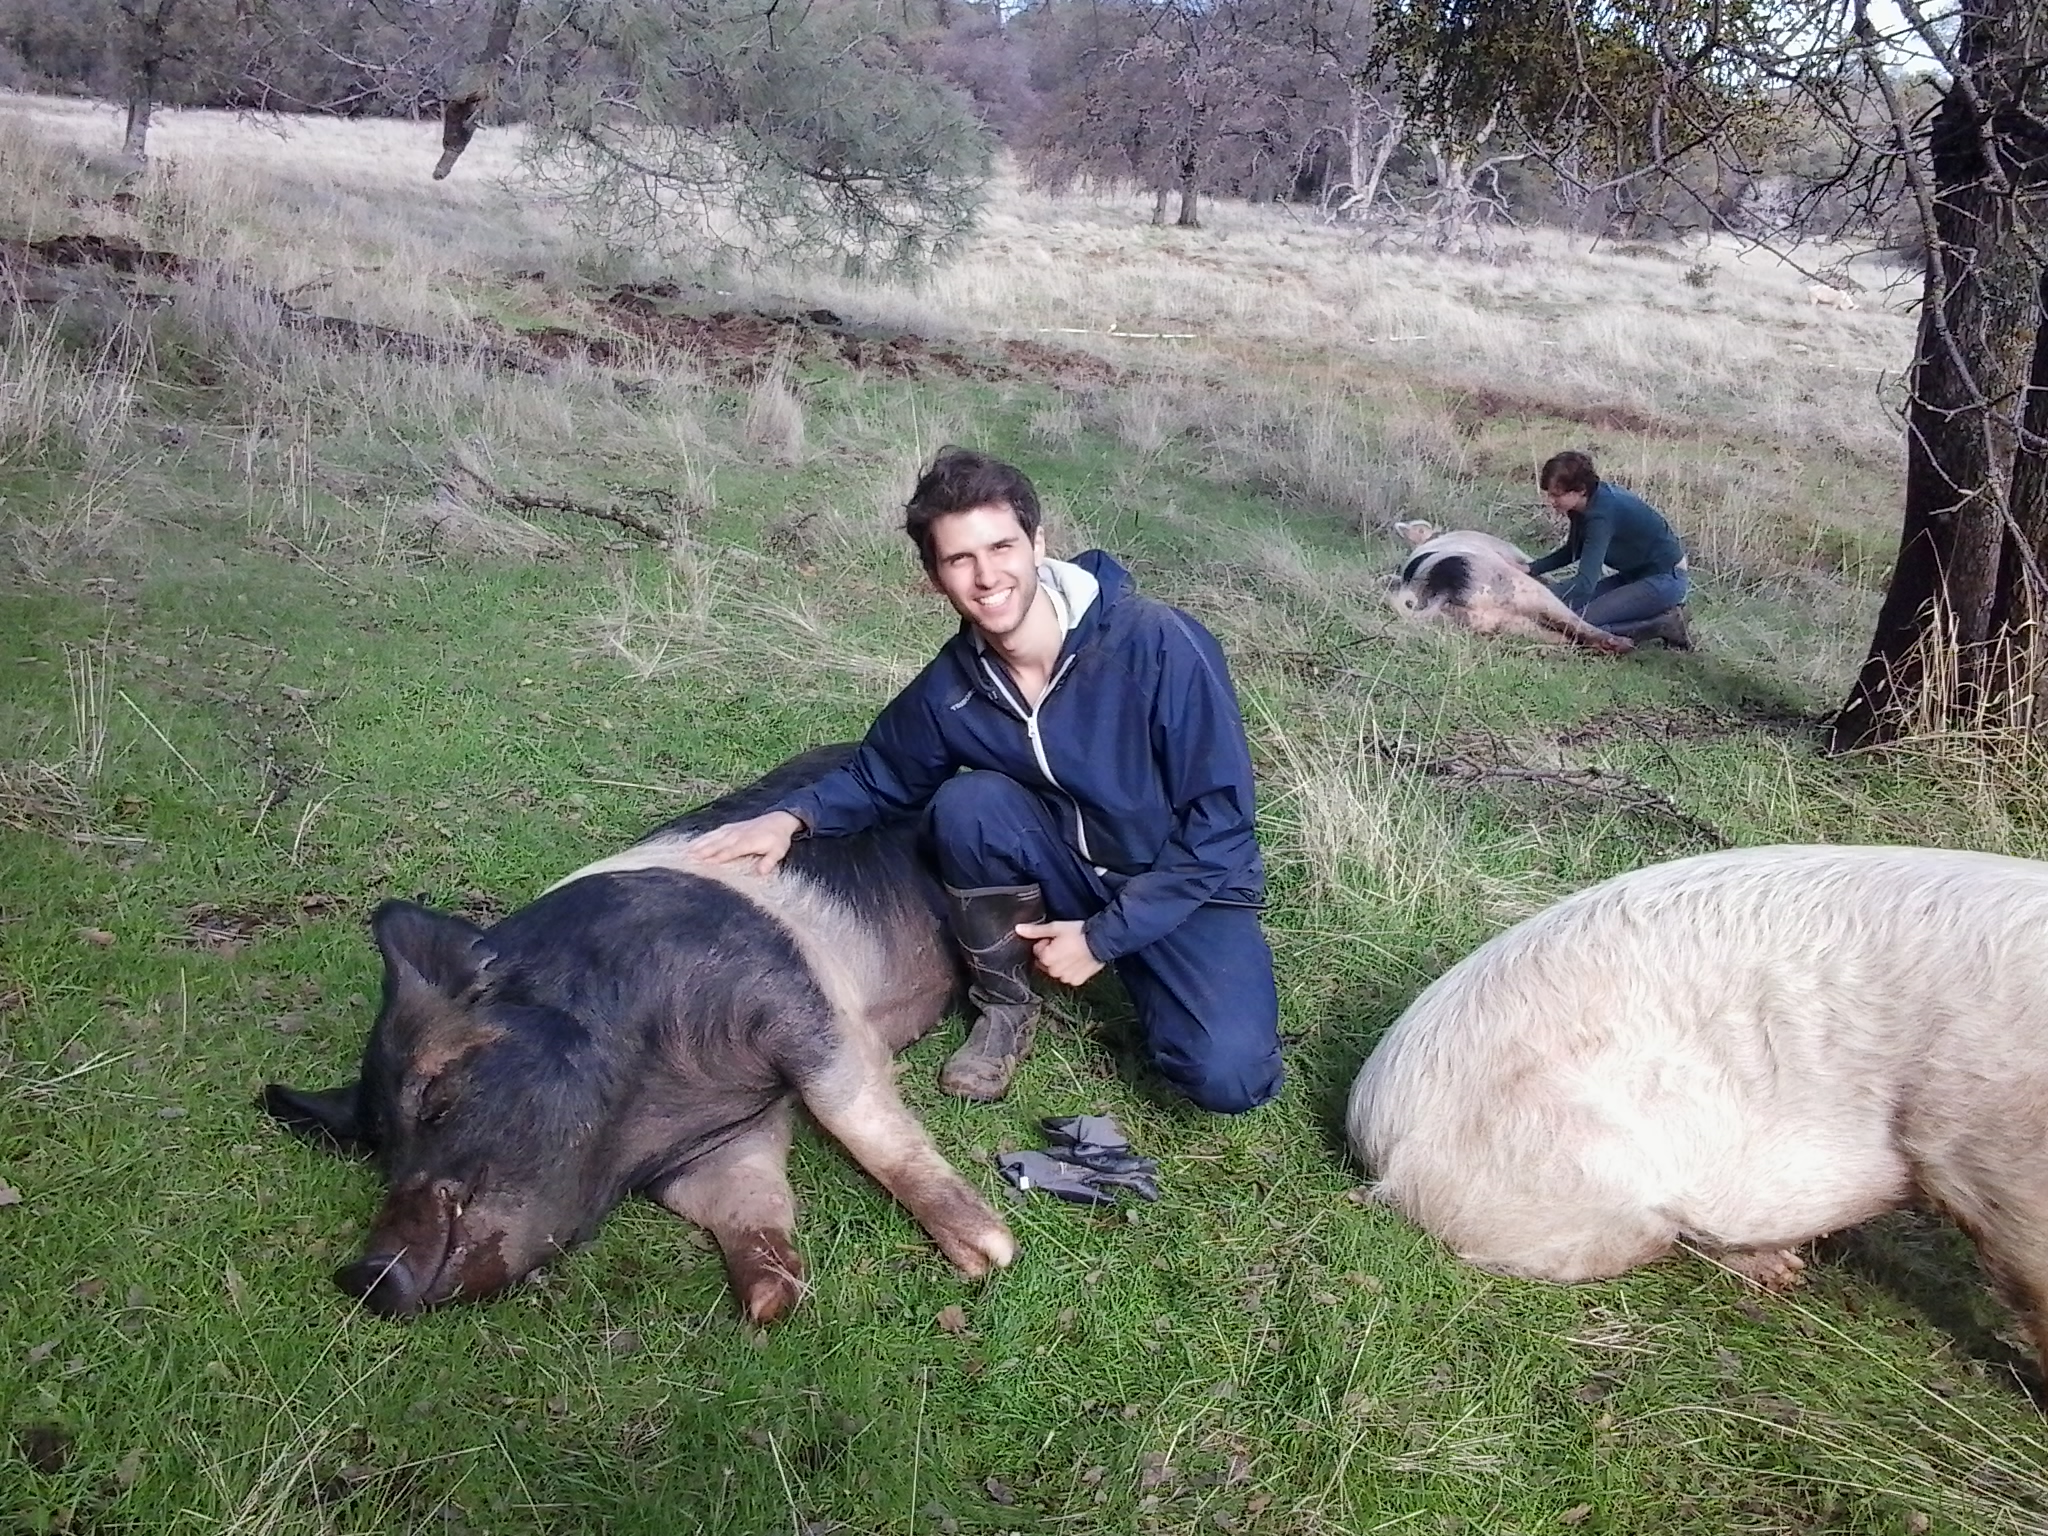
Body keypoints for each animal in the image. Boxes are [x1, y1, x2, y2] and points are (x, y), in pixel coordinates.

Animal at [263, 743, 1015, 1324]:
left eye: (435, 1099)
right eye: (376, 1151)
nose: (360, 1275)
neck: (654, 1108)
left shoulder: (796, 1000)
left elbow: (859, 1120)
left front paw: (989, 1257)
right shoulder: (713, 1145)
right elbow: (745, 1198)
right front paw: (772, 1300)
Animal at [1387, 520, 1633, 655]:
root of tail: (1442, 592)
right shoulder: (1515, 554)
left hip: (1505, 622)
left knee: (1561, 635)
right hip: (1521, 588)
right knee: (1573, 623)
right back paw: (1623, 643)